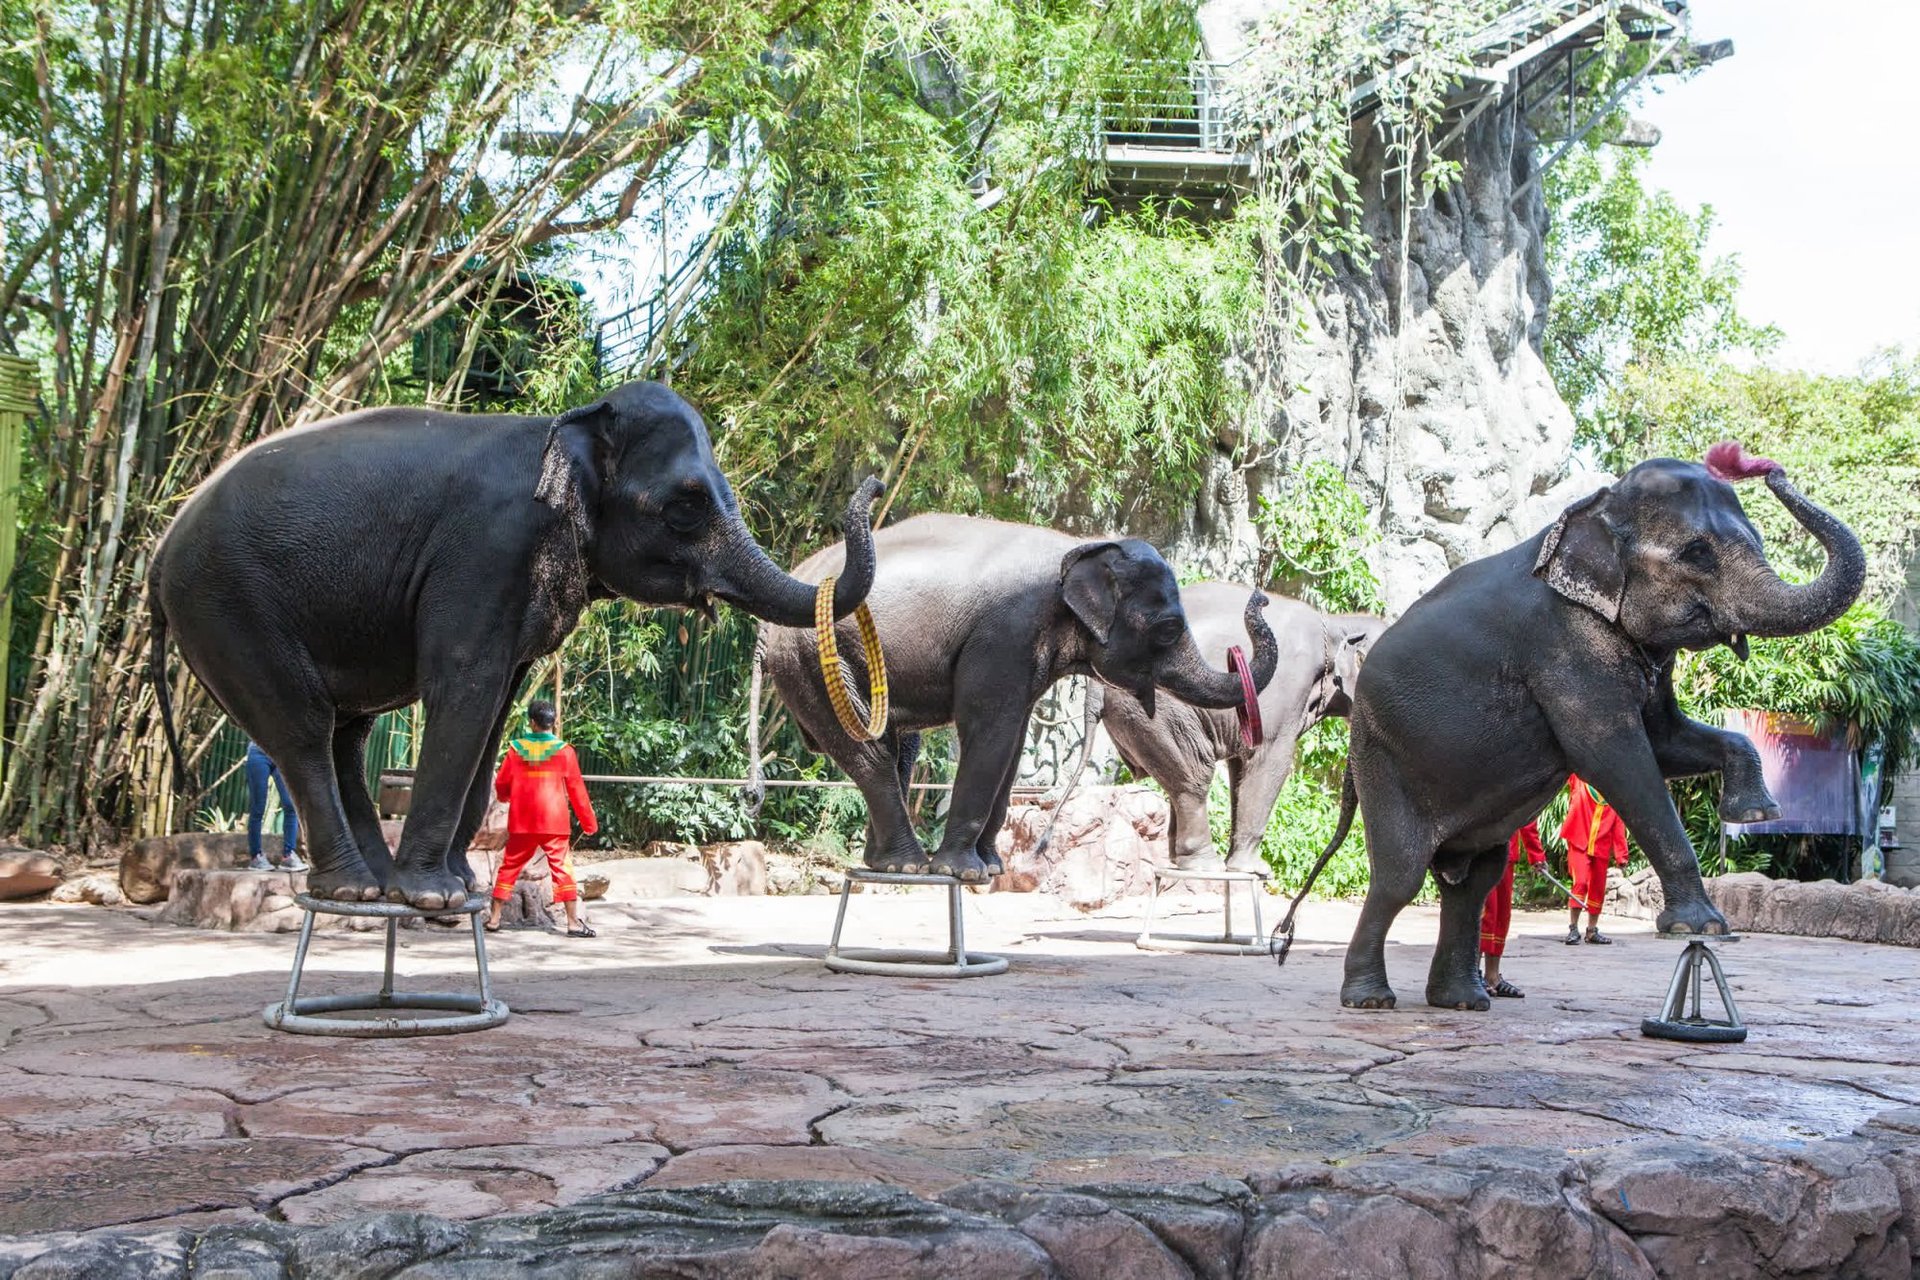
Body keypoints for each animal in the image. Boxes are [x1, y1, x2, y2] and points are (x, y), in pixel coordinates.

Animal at [149, 379, 883, 909]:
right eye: (686, 506)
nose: (874, 482)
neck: (564, 426)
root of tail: (159, 552)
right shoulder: (485, 548)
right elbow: (466, 684)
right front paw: (436, 897)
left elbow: (497, 703)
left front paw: (459, 885)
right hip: (228, 605)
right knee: (301, 729)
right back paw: (358, 888)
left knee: (345, 735)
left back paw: (376, 883)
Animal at [744, 514, 1274, 886]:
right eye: (1167, 629)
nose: (1261, 597)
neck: (1077, 546)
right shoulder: (1006, 632)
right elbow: (990, 731)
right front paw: (964, 873)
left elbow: (1014, 740)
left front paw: (992, 868)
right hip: (813, 660)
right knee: (867, 756)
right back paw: (908, 867)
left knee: (892, 751)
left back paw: (882, 864)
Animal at [1082, 587, 1382, 871]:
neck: (1337, 623)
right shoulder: (1286, 688)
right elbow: (1272, 758)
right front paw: (1253, 871)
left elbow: (1240, 766)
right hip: (1157, 712)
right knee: (1195, 777)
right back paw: (1204, 865)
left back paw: (1178, 862)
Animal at [1290, 445, 1858, 1013]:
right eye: (1697, 553)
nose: (1770, 468)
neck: (1595, 509)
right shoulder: (1562, 644)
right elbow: (1615, 754)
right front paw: (1700, 928)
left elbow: (1666, 741)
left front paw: (1755, 812)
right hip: (1382, 757)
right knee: (1399, 877)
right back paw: (1370, 1000)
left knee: (1473, 883)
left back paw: (1463, 1001)